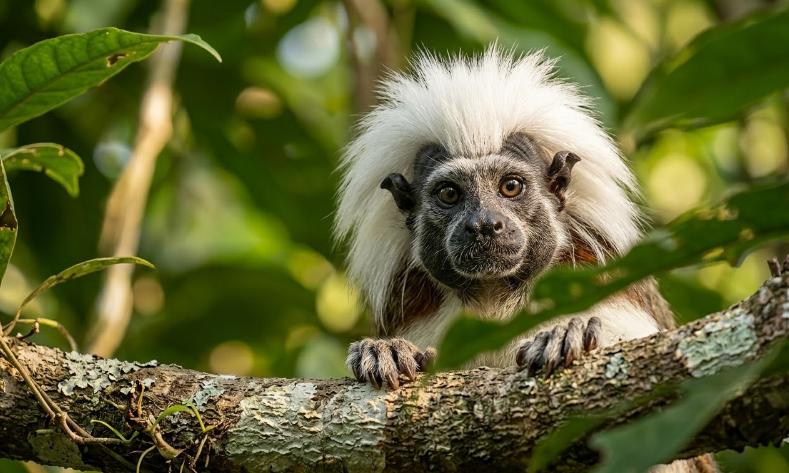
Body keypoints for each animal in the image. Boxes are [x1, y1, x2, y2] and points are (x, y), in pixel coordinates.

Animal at [334, 47, 717, 473]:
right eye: (449, 194)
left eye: (511, 187)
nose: (484, 225)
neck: (495, 299)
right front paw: (385, 351)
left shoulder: (607, 287)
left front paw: (566, 336)